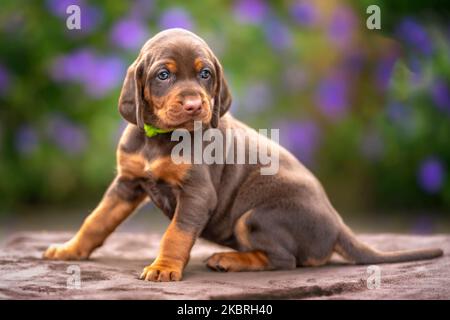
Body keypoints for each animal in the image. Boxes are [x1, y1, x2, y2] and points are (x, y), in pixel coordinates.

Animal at [44, 28, 444, 282]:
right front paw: (69, 249)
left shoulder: (197, 194)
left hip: (254, 217)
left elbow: (175, 234)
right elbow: (96, 220)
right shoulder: (127, 183)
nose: (194, 105)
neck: (161, 139)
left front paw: (164, 267)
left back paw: (229, 259)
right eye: (163, 75)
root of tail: (338, 224)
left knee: (285, 261)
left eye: (206, 73)